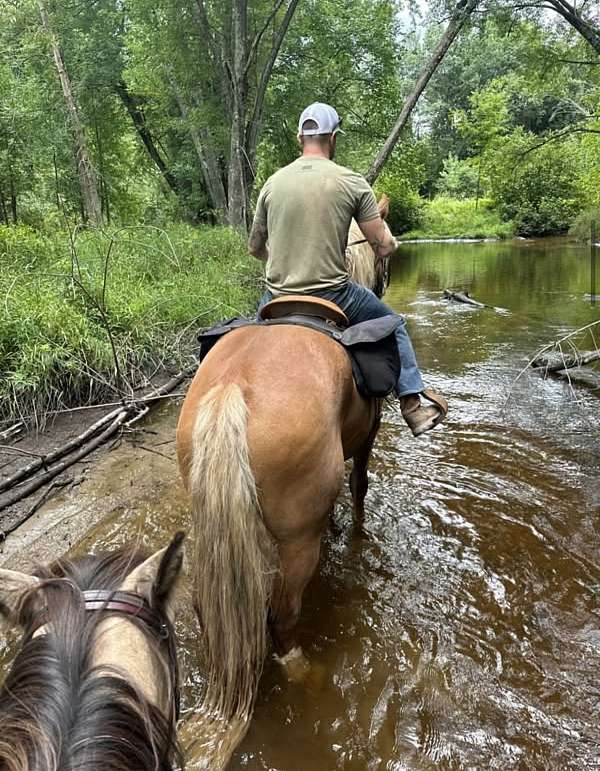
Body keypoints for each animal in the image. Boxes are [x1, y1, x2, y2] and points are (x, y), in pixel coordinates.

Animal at [176, 197, 390, 767]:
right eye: (386, 247)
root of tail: (231, 388)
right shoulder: (367, 437)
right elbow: (359, 488)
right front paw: (355, 531)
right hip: (295, 541)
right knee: (283, 615)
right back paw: (303, 669)